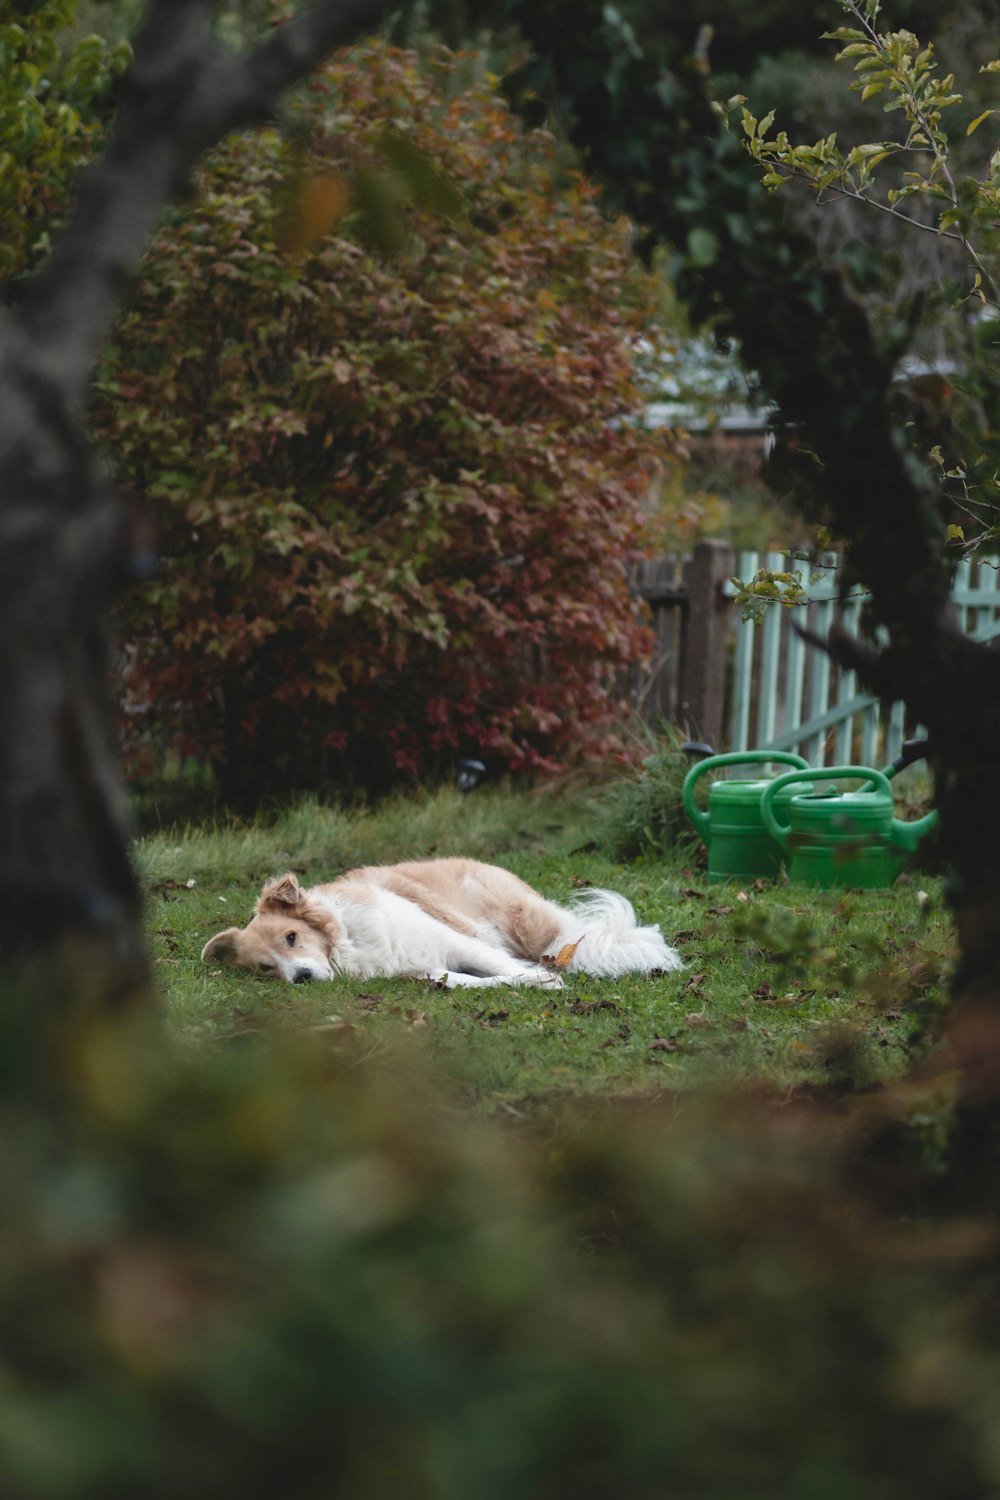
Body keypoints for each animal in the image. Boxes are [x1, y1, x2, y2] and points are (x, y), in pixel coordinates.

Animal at [199, 864, 683, 990]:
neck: (348, 941)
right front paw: (533, 983)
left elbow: (505, 969)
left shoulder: (455, 942)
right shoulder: (428, 969)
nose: (298, 978)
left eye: (292, 937)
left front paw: (543, 980)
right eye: (266, 967)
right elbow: (470, 983)